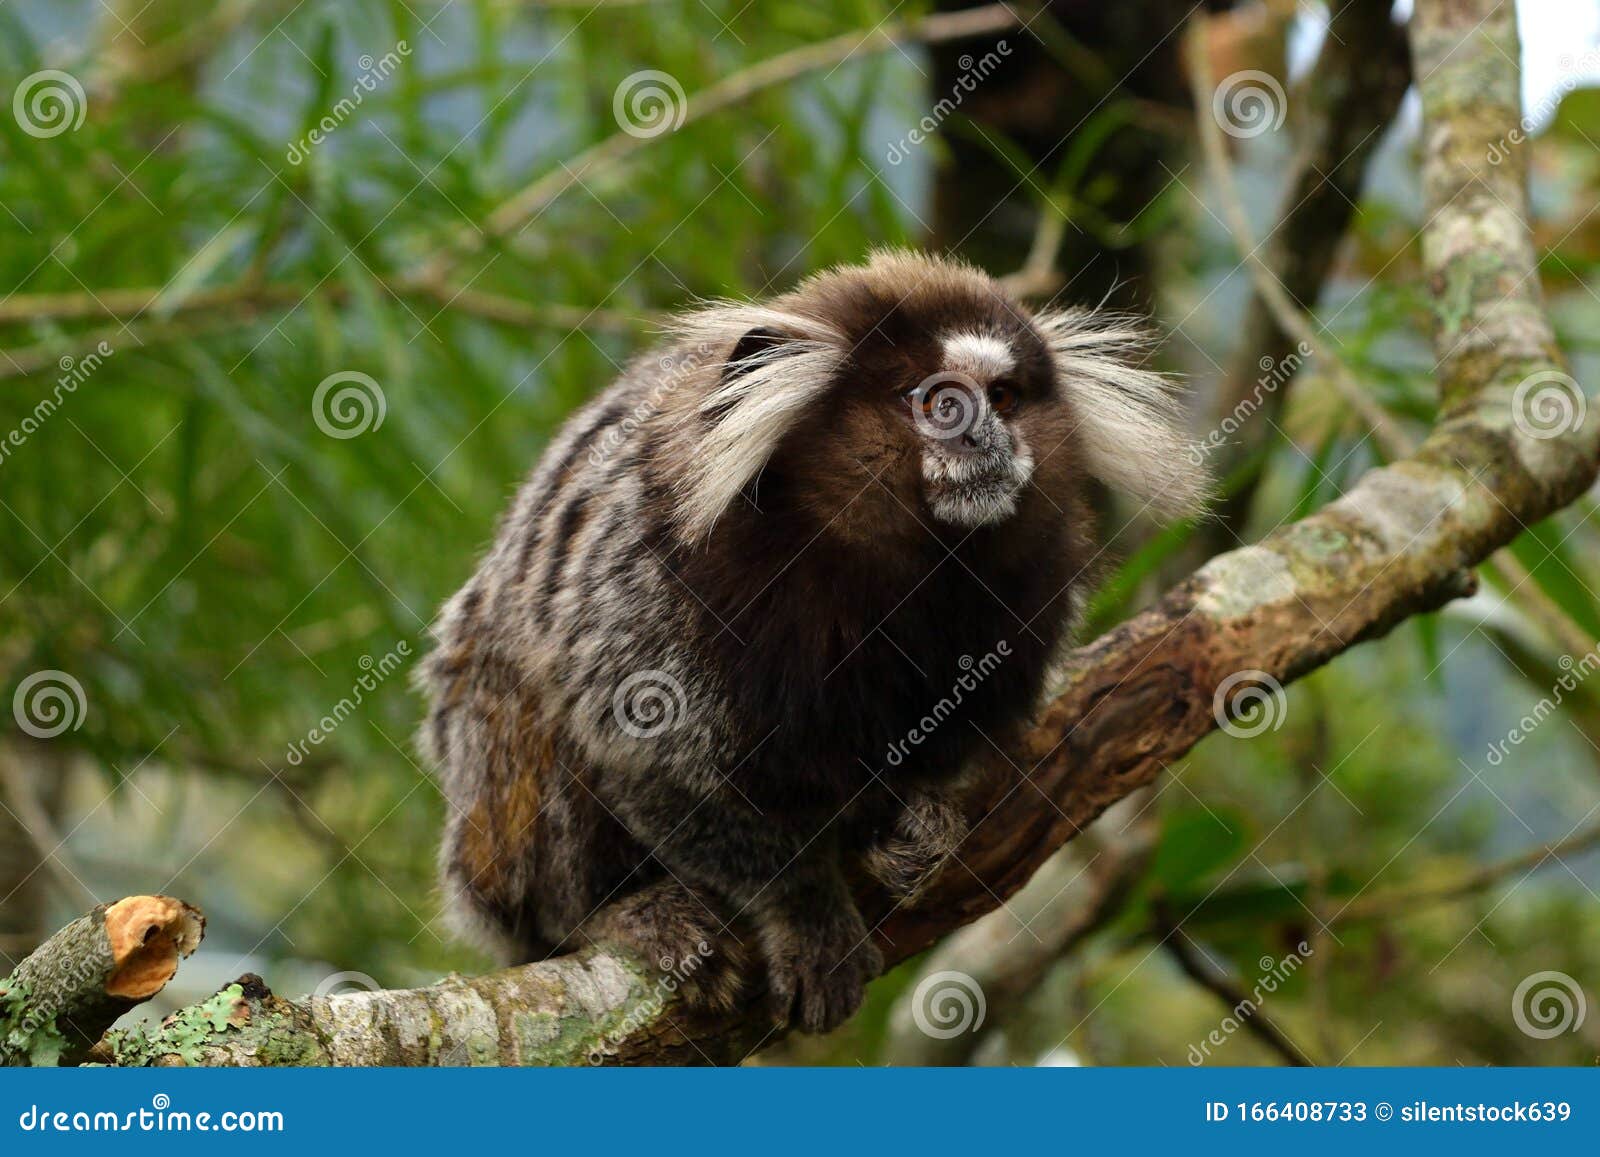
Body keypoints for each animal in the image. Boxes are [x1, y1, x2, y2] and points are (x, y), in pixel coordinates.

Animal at [419, 251, 1203, 1030]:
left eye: (1003, 397)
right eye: (937, 403)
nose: (987, 438)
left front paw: (920, 823)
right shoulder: (653, 577)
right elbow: (650, 763)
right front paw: (808, 910)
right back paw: (614, 912)